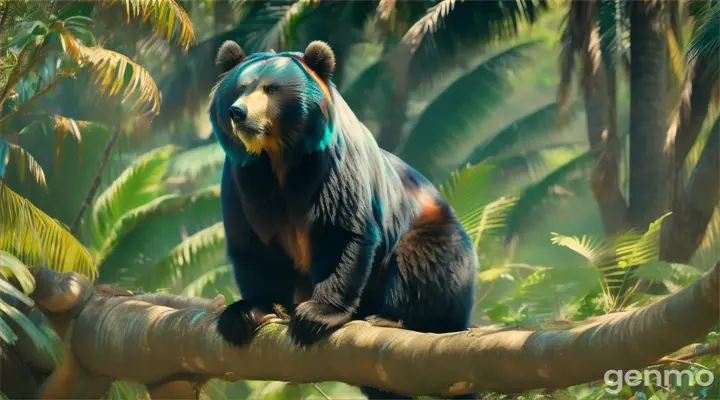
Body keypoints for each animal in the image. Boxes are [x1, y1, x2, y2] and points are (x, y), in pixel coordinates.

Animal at [208, 38, 478, 400]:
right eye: (240, 87)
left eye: (271, 88)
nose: (239, 112)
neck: (279, 157)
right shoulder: (243, 182)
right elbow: (253, 246)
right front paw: (246, 313)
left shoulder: (329, 168)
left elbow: (341, 232)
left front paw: (315, 316)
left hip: (431, 230)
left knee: (425, 264)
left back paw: (394, 319)